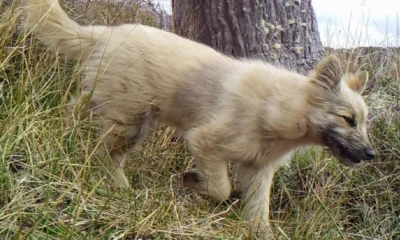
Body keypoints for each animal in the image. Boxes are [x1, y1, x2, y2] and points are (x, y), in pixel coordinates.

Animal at [21, 0, 376, 236]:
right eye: (348, 119)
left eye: (363, 120)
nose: (371, 154)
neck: (278, 107)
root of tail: (104, 33)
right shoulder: (206, 142)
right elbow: (221, 188)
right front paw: (194, 182)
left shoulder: (258, 171)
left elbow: (259, 215)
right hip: (130, 120)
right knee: (104, 154)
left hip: (118, 112)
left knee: (79, 117)